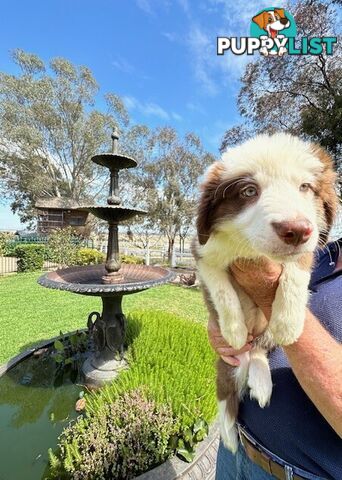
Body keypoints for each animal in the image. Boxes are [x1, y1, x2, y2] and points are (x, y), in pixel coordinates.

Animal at [194, 132, 338, 454]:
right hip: (228, 364)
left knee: (260, 349)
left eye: (305, 187)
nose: (296, 231)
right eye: (249, 191)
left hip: (263, 339)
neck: (251, 248)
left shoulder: (309, 246)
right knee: (227, 389)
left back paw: (261, 383)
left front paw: (288, 323)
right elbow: (222, 289)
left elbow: (296, 269)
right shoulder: (204, 254)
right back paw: (229, 433)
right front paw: (234, 330)